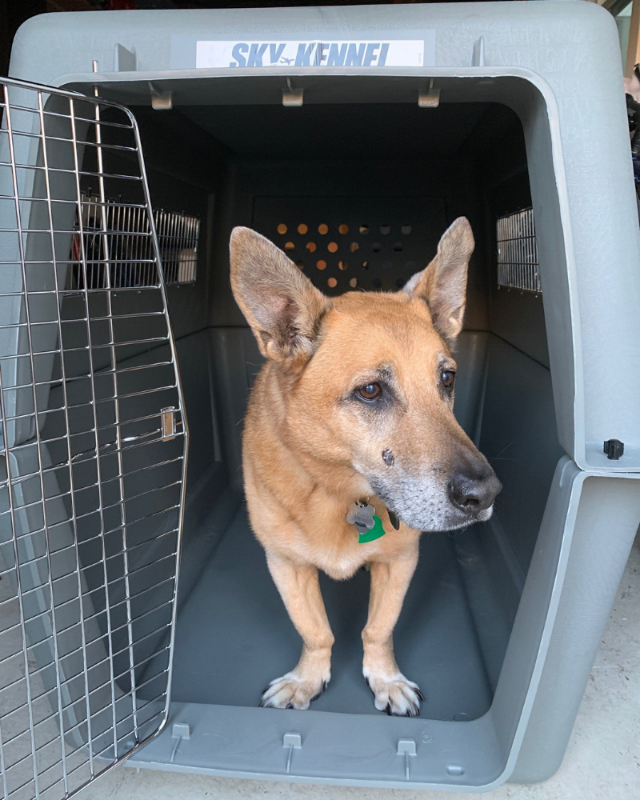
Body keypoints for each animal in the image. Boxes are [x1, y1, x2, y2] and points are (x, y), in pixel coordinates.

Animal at [229, 220, 500, 720]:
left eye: (447, 379)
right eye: (371, 391)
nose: (485, 494)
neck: (340, 491)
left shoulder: (400, 562)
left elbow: (378, 629)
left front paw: (385, 678)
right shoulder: (286, 564)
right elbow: (316, 631)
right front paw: (307, 678)